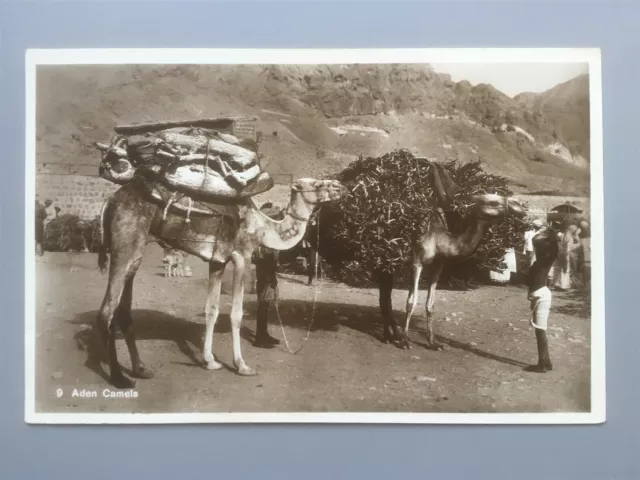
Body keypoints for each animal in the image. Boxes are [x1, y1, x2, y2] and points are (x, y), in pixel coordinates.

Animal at [96, 174, 344, 388]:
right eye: (317, 184)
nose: (341, 187)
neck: (262, 227)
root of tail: (111, 201)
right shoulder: (242, 256)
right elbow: (236, 313)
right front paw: (242, 365)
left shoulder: (218, 261)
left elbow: (211, 309)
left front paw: (210, 361)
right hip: (124, 244)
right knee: (107, 311)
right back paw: (119, 378)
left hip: (135, 253)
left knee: (122, 310)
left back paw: (141, 369)